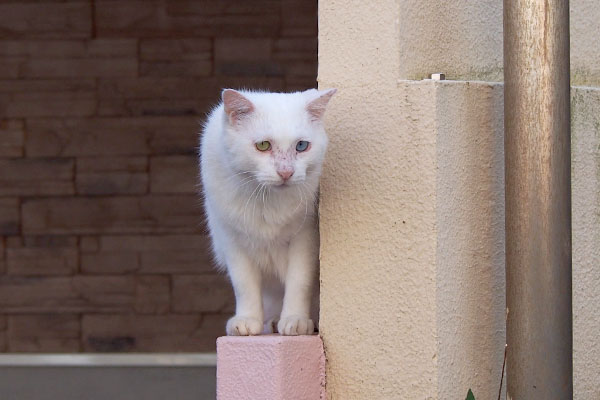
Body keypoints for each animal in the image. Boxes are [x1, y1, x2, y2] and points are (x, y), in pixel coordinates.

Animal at [199, 89, 336, 336]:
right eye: (263, 145)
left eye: (301, 146)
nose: (286, 172)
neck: (266, 200)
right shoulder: (232, 240)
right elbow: (244, 285)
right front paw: (247, 321)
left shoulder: (306, 238)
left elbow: (299, 281)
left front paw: (295, 320)